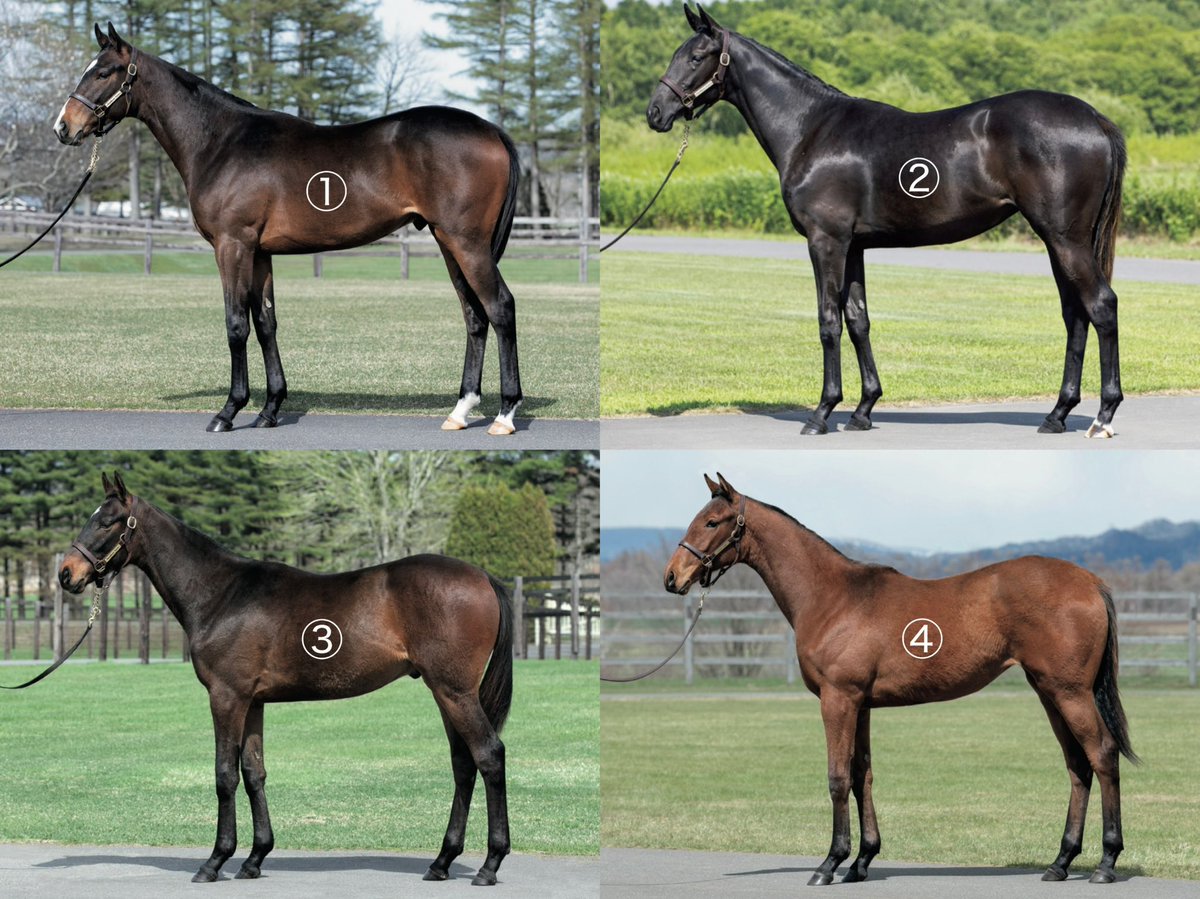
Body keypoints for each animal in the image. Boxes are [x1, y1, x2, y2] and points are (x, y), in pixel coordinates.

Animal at [54, 23, 523, 437]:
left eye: (103, 72)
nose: (63, 127)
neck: (221, 142)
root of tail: (493, 131)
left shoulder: (232, 245)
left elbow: (236, 325)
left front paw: (228, 411)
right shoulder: (260, 252)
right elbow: (266, 324)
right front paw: (270, 409)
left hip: (466, 243)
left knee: (500, 307)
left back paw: (504, 414)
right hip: (448, 242)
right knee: (474, 315)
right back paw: (460, 411)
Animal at [58, 471, 513, 886]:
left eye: (108, 521)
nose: (66, 574)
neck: (222, 594)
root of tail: (483, 577)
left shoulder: (226, 697)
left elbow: (224, 775)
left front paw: (215, 861)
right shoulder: (253, 701)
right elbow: (253, 772)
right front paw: (254, 858)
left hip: (455, 692)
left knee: (489, 755)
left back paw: (490, 865)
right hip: (445, 692)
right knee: (463, 763)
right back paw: (441, 862)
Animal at [648, 5, 1126, 439]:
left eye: (696, 57)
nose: (656, 112)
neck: (810, 130)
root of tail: (1095, 119)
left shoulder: (826, 242)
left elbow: (828, 320)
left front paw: (822, 413)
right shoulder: (854, 246)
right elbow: (858, 320)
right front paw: (863, 410)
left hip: (1065, 239)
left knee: (1101, 305)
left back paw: (1103, 415)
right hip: (1059, 241)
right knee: (1075, 314)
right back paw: (1057, 414)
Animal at [663, 472, 1137, 886]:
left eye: (712, 522)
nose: (673, 577)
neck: (833, 597)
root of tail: (1090, 583)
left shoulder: (838, 699)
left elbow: (837, 778)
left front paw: (829, 864)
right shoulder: (861, 704)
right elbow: (862, 776)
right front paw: (861, 861)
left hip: (1070, 692)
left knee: (1102, 755)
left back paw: (1106, 862)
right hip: (1048, 692)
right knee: (1078, 765)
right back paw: (1060, 862)